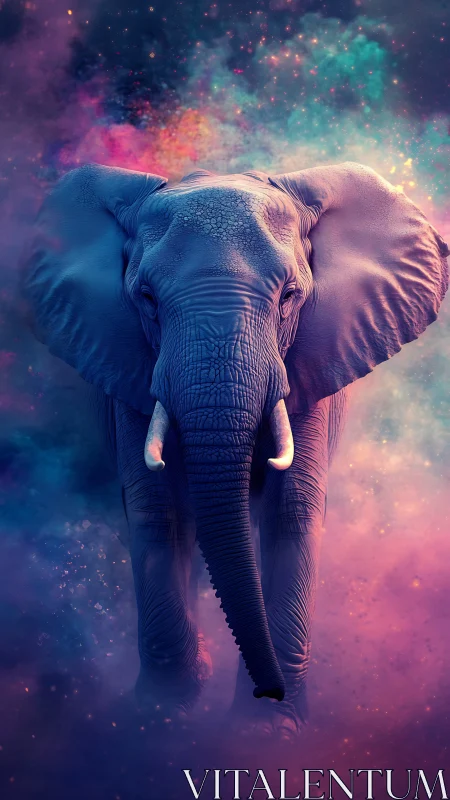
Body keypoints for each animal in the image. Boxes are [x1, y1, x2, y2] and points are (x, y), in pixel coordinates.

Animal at [24, 162, 449, 735]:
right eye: (147, 299)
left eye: (290, 297)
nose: (268, 690)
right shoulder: (130, 364)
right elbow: (158, 512)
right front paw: (158, 724)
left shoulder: (309, 362)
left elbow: (290, 511)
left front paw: (265, 734)